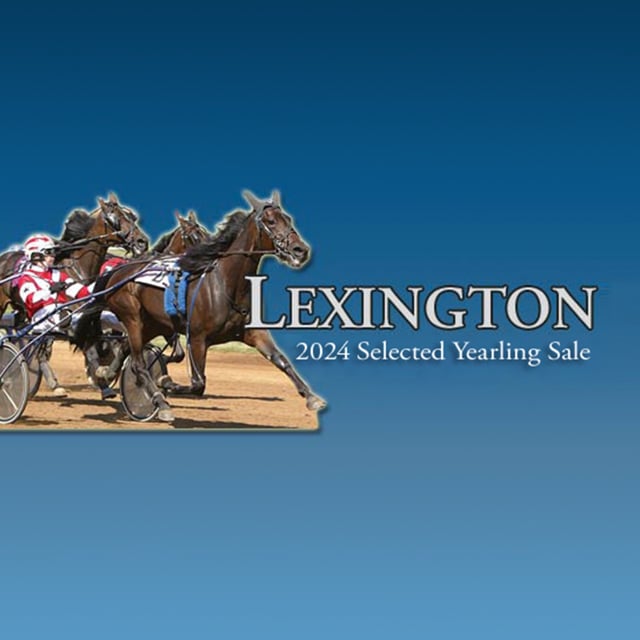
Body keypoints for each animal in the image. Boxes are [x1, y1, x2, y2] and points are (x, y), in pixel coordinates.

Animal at [74, 190, 326, 423]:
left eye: (289, 220)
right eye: (271, 221)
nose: (300, 250)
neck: (225, 283)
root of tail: (117, 271)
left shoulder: (252, 332)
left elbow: (281, 360)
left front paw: (312, 397)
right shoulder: (196, 337)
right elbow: (198, 384)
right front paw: (168, 384)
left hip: (153, 324)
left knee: (126, 348)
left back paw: (105, 373)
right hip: (133, 318)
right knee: (138, 364)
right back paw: (160, 402)